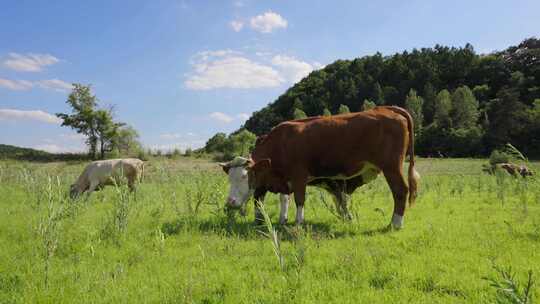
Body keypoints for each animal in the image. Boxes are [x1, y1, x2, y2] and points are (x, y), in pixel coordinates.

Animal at [219, 105, 418, 229]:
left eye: (244, 176)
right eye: (229, 179)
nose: (230, 202)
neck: (281, 143)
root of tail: (386, 108)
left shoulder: (299, 175)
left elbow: (299, 200)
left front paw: (298, 223)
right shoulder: (284, 179)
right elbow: (283, 199)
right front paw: (281, 220)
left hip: (392, 167)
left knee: (401, 191)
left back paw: (395, 224)